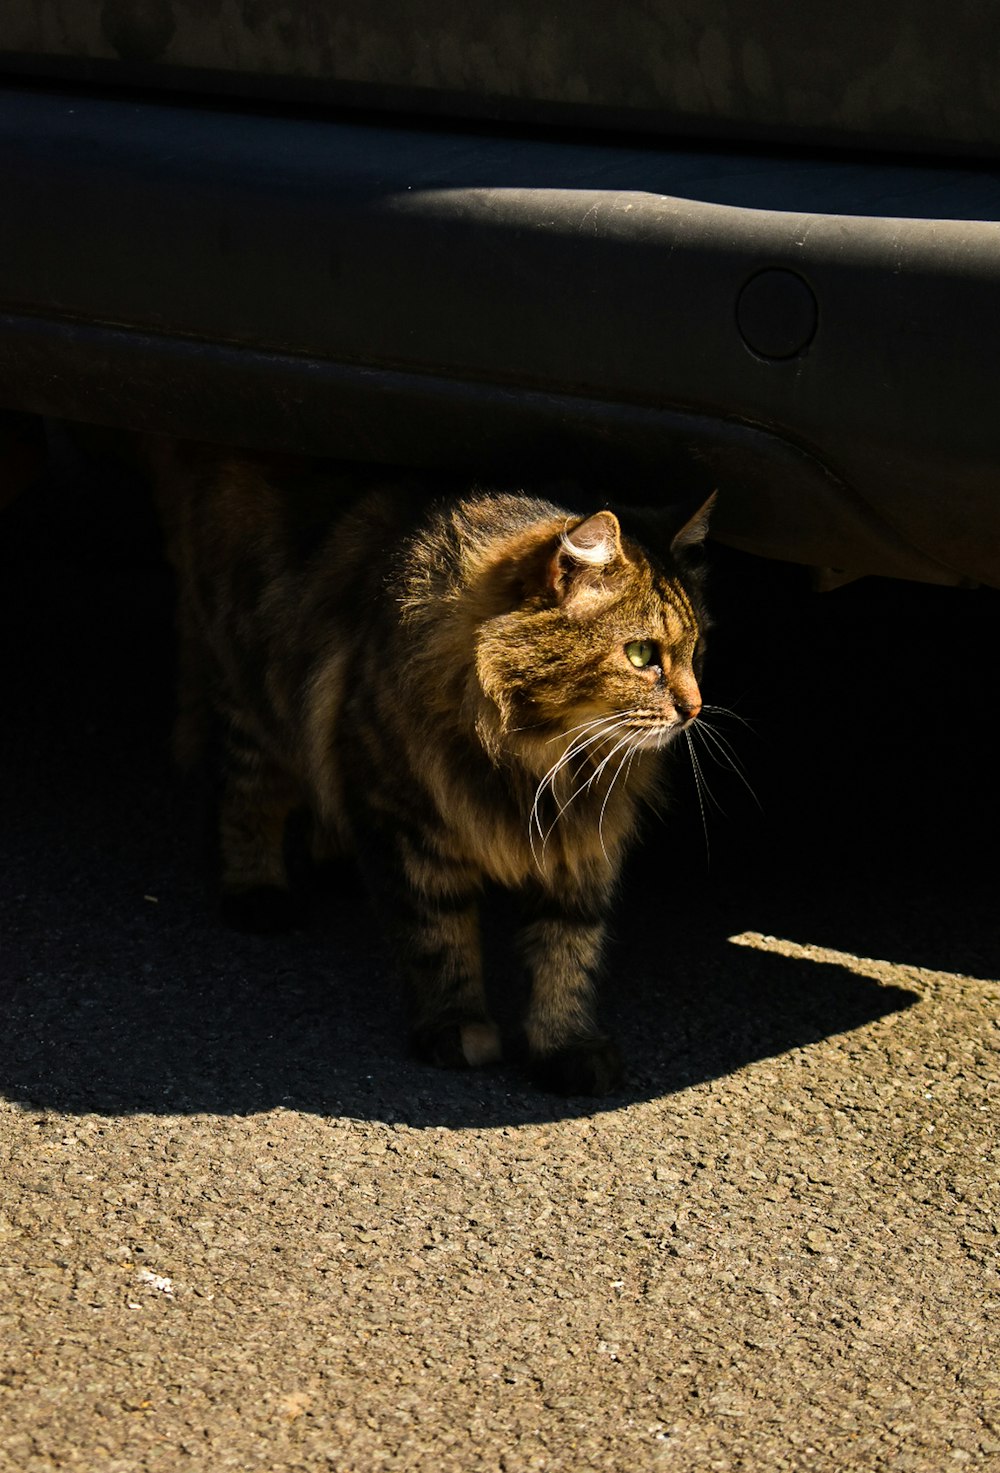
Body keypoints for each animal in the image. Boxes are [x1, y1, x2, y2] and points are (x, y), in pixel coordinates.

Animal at [154, 444, 712, 1095]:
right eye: (642, 655)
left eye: (697, 653)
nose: (694, 709)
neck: (544, 756)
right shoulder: (406, 814)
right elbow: (439, 934)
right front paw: (456, 1027)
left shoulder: (580, 845)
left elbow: (568, 949)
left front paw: (564, 1046)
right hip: (250, 687)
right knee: (247, 793)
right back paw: (257, 891)